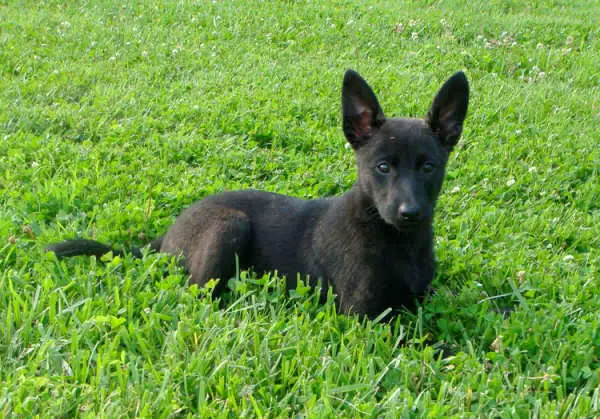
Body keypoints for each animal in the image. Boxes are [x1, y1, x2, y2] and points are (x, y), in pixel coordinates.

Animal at [47, 69, 468, 318]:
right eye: (382, 168)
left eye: (428, 167)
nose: (410, 213)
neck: (394, 238)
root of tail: (166, 237)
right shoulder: (365, 315)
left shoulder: (423, 296)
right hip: (229, 226)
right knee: (198, 293)